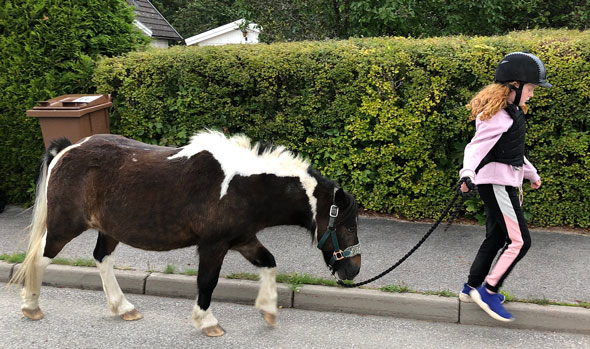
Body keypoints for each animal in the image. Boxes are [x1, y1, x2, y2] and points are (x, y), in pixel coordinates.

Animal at [10, 130, 360, 334]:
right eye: (348, 224)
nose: (353, 270)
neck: (241, 185)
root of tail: (67, 150)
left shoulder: (243, 239)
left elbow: (269, 263)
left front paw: (270, 310)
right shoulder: (213, 245)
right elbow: (207, 282)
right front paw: (207, 322)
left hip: (109, 229)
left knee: (101, 259)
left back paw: (124, 308)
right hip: (65, 225)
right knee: (39, 259)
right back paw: (31, 307)